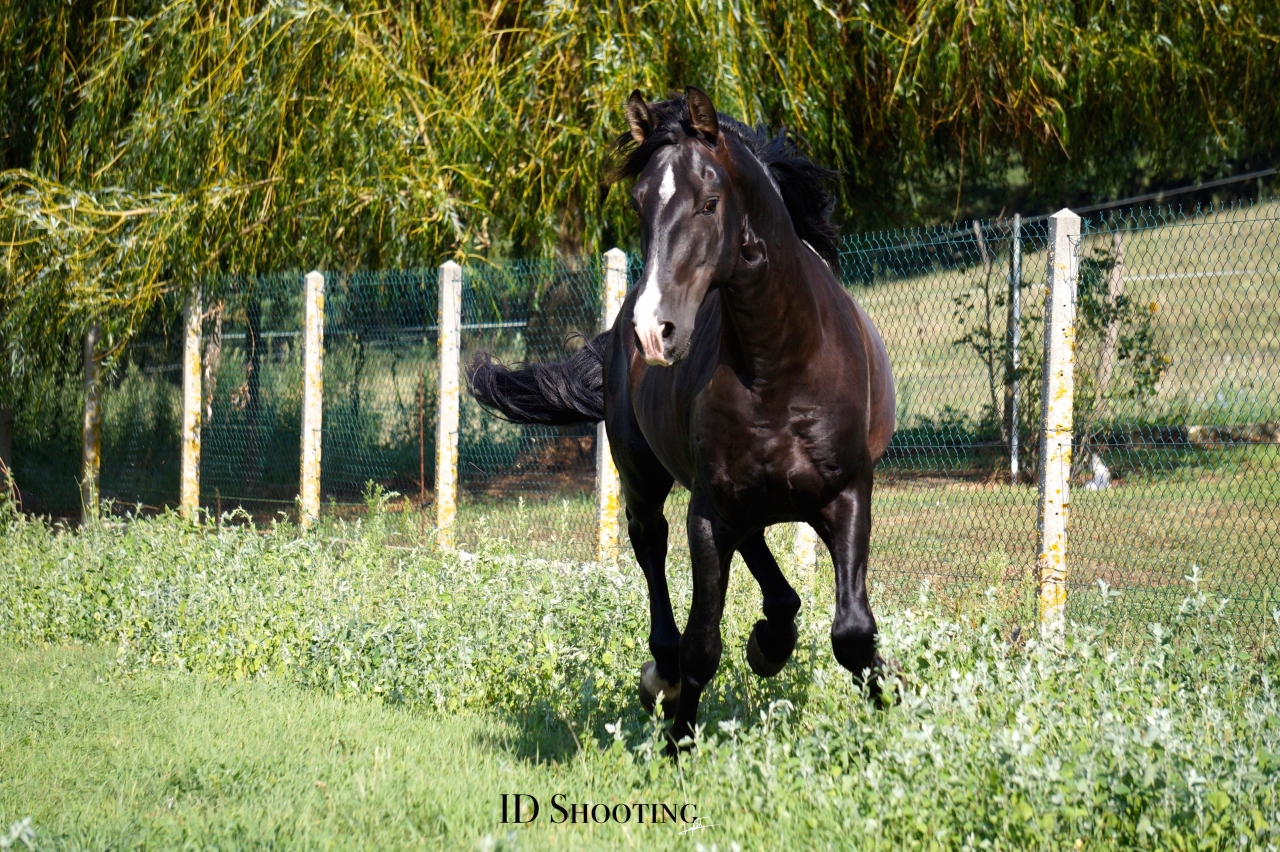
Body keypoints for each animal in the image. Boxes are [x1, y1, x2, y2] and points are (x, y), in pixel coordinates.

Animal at [467, 86, 895, 747]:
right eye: (640, 203)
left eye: (710, 203)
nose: (653, 329)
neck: (780, 366)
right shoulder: (709, 511)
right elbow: (702, 644)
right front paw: (677, 740)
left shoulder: (847, 495)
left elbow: (852, 631)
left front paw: (892, 704)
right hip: (647, 480)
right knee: (653, 549)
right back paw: (670, 671)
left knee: (765, 566)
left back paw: (771, 640)